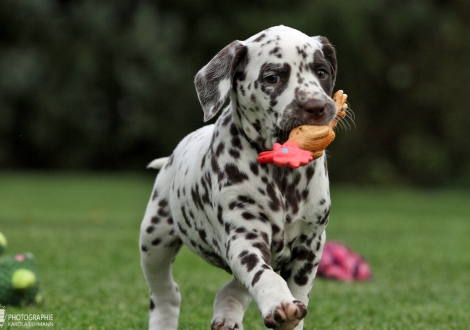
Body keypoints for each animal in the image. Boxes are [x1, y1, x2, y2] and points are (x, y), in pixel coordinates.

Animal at [140, 24, 338, 328]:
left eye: (322, 72)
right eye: (272, 77)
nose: (316, 106)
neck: (282, 176)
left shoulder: (310, 245)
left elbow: (297, 292)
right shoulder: (245, 238)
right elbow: (264, 276)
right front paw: (279, 303)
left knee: (232, 288)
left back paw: (226, 314)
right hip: (154, 238)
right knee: (166, 293)